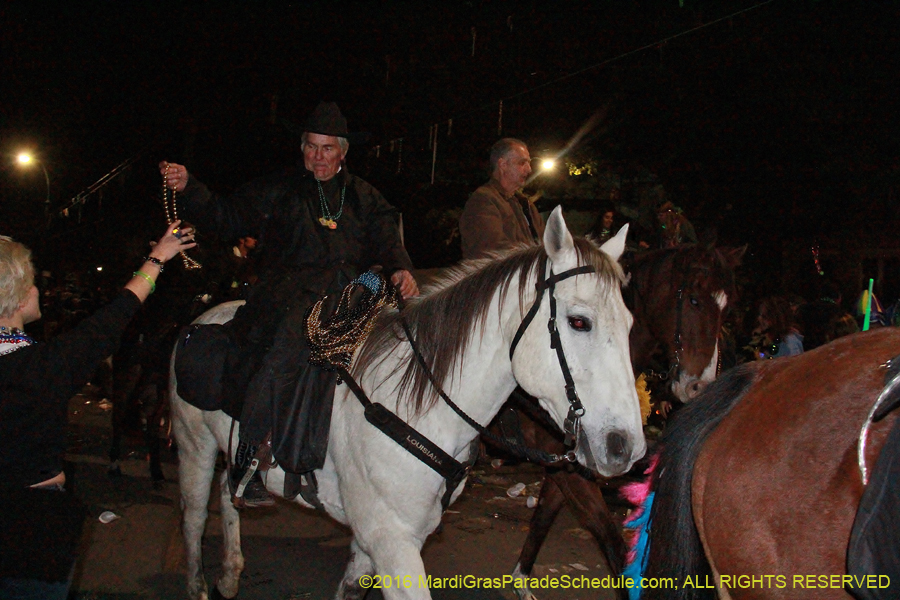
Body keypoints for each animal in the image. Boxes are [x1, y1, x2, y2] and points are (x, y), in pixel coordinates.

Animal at [171, 207, 648, 600]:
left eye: (630, 325)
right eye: (579, 321)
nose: (625, 447)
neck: (415, 409)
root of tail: (199, 321)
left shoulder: (383, 541)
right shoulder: (391, 540)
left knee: (227, 492)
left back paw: (230, 573)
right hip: (194, 447)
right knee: (193, 516)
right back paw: (197, 584)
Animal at [506, 245, 744, 600]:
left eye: (726, 309)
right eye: (694, 300)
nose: (699, 386)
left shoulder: (568, 465)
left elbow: (544, 515)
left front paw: (521, 578)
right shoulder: (569, 469)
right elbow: (612, 540)